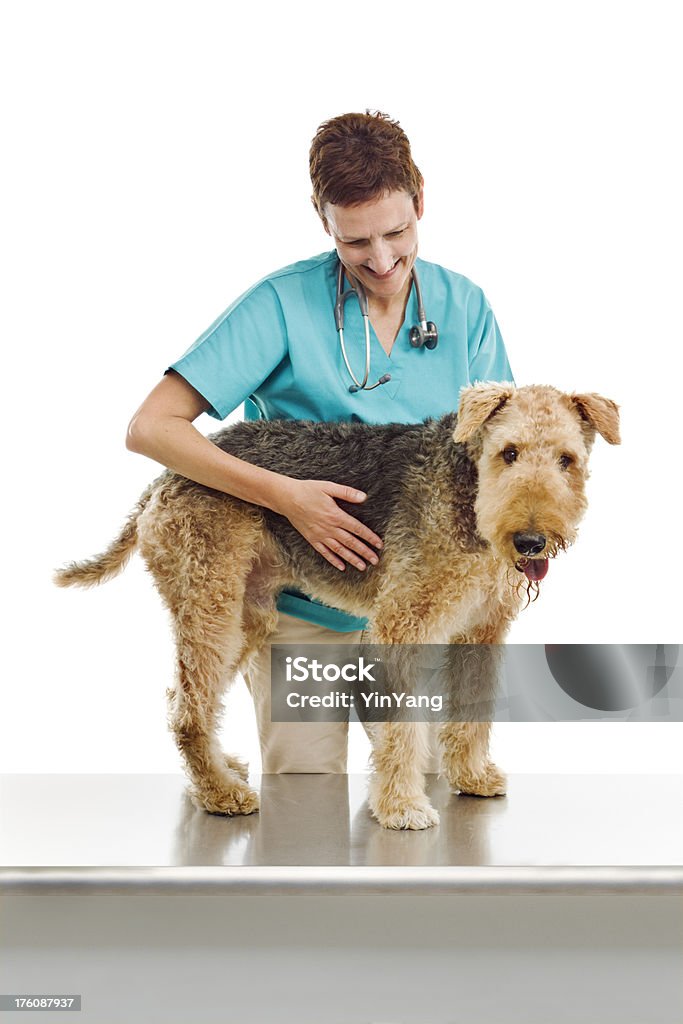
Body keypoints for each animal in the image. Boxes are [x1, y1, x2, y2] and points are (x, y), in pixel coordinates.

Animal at [54, 380, 618, 827]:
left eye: (567, 459)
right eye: (509, 452)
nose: (530, 541)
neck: (466, 488)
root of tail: (160, 481)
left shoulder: (482, 629)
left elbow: (472, 710)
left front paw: (472, 776)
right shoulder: (401, 625)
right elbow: (402, 729)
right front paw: (402, 807)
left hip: (244, 615)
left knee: (183, 698)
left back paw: (219, 773)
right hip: (209, 603)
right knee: (187, 711)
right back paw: (222, 794)